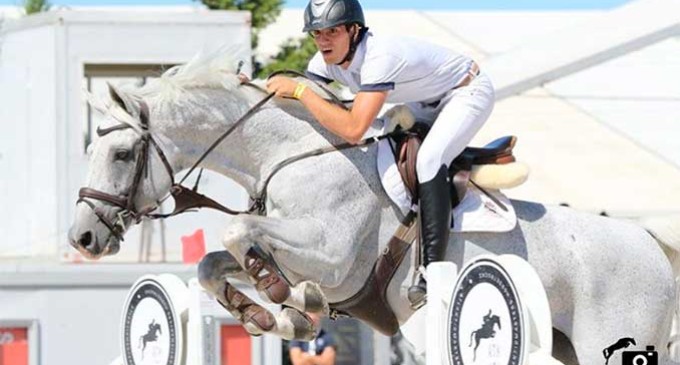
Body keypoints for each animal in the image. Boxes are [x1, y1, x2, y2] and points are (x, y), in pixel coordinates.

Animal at [67, 52, 680, 364]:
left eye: (122, 153)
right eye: (90, 151)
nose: (82, 239)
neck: (290, 152)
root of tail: (651, 242)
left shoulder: (332, 258)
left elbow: (239, 232)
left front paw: (293, 303)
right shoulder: (289, 243)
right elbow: (215, 261)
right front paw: (268, 314)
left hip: (611, 338)